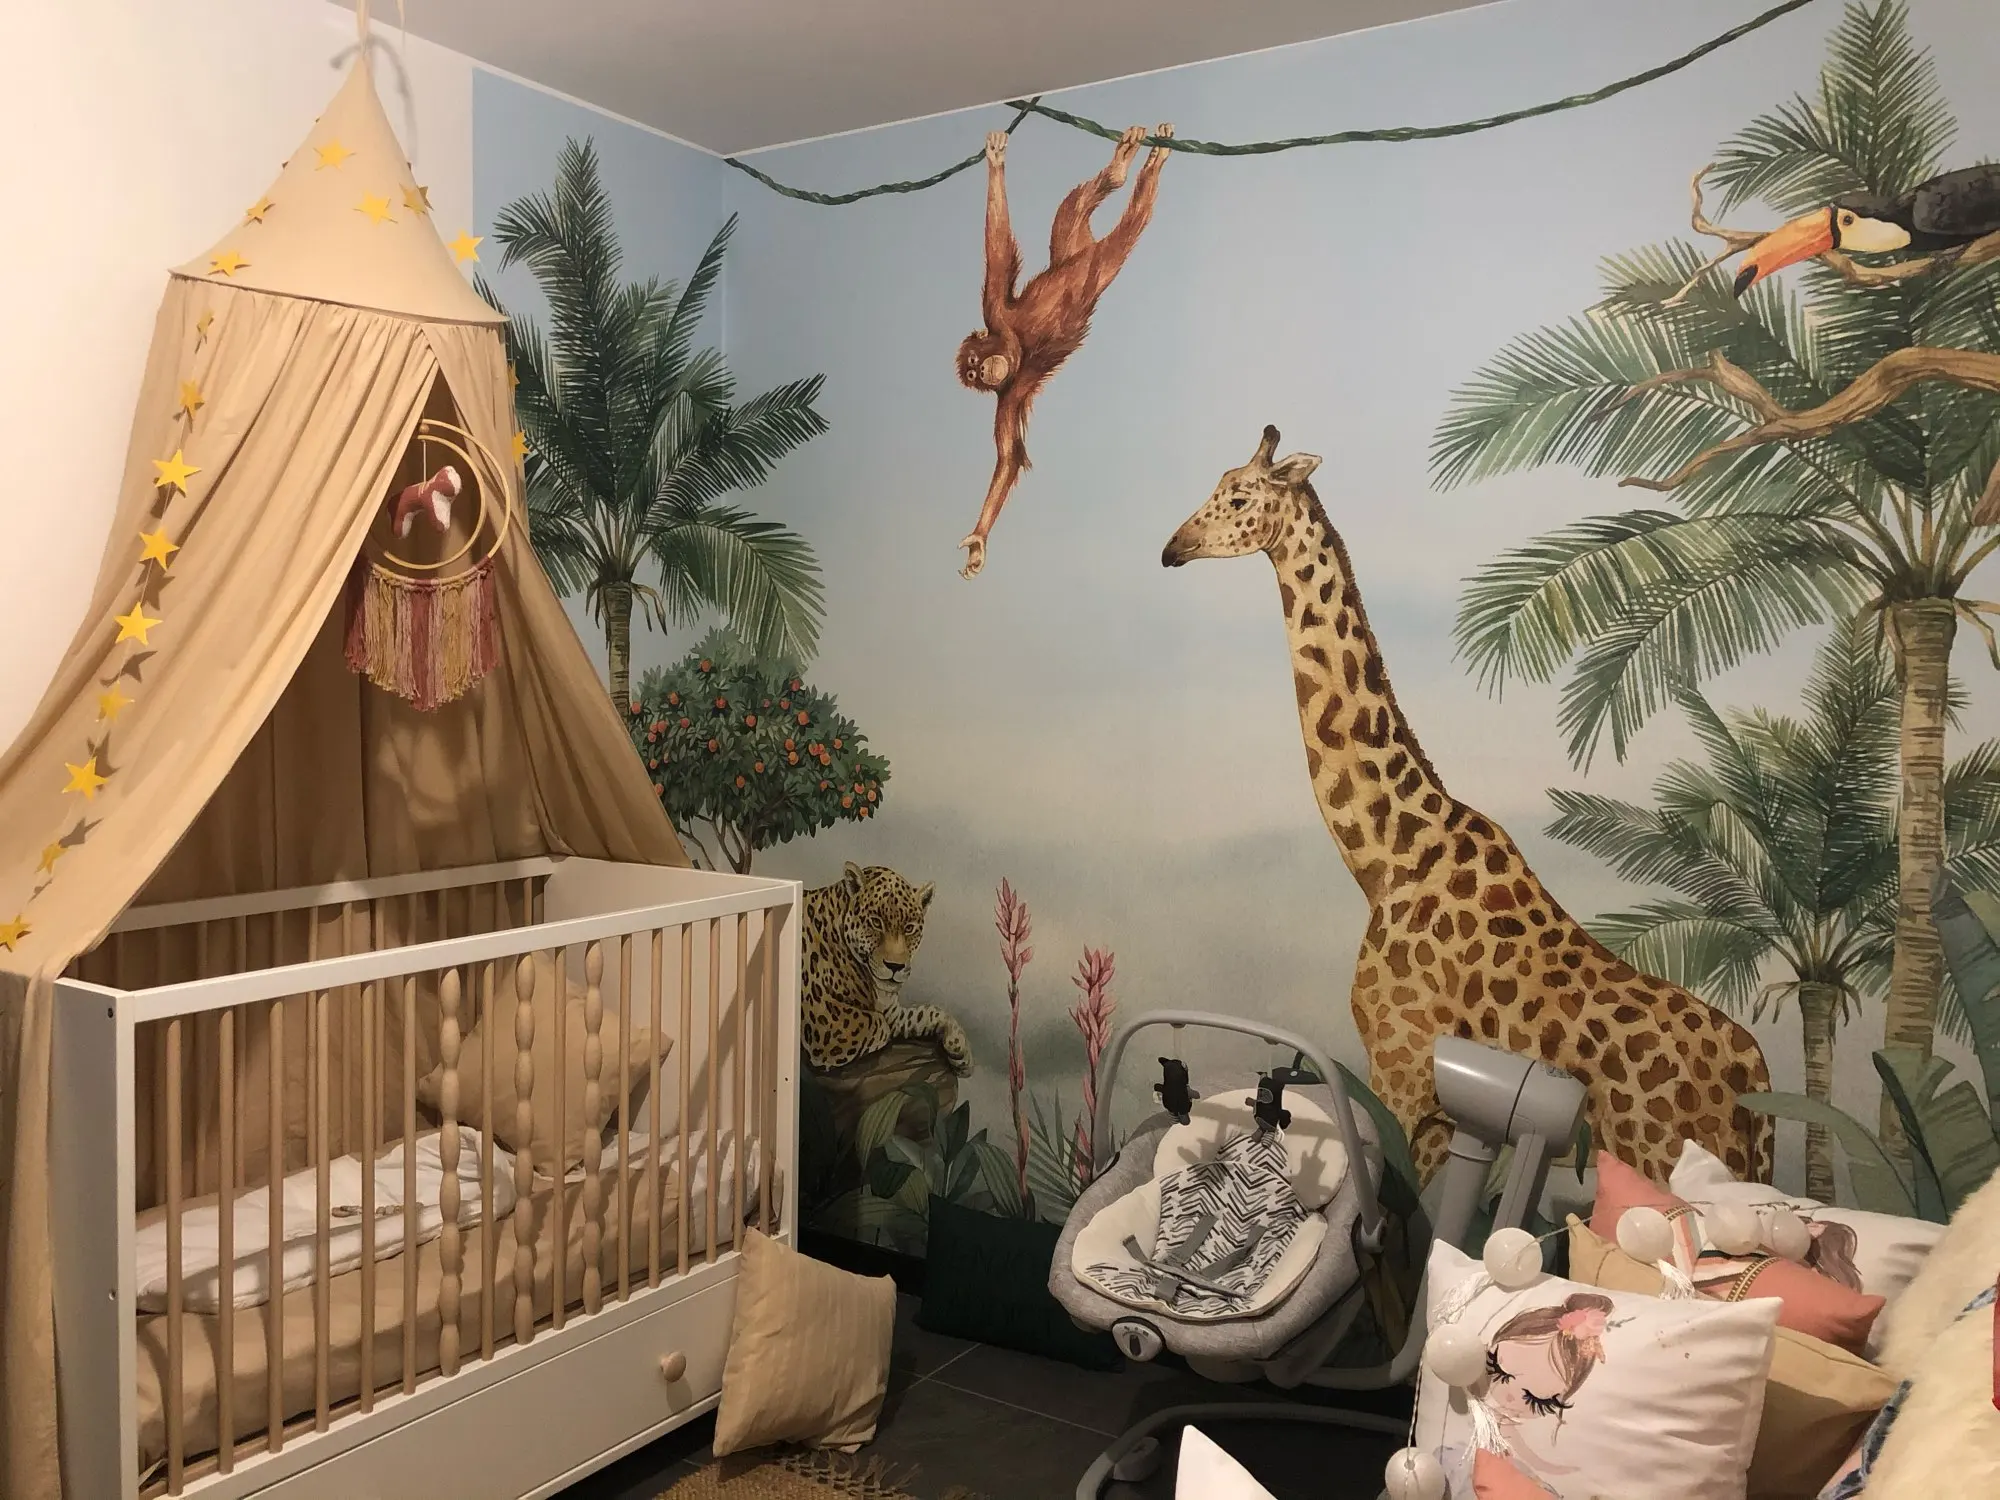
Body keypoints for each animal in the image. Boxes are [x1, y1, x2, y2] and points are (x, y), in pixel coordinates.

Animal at [801, 862, 972, 1077]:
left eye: (909, 928)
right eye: (876, 922)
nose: (895, 966)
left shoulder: (893, 1013)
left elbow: (928, 1012)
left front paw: (960, 1051)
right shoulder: (826, 1019)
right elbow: (876, 1023)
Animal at [954, 122, 1173, 579]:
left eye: (973, 363)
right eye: (972, 376)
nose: (981, 373)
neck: (1015, 350)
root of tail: (1083, 248)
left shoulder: (996, 314)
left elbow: (997, 249)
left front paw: (996, 163)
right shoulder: (1009, 397)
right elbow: (1008, 457)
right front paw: (979, 543)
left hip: (1094, 261)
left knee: (1123, 225)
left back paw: (1129, 168)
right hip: (1076, 244)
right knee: (1088, 216)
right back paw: (1132, 167)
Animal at [1161, 426, 1774, 1184]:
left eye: (1241, 496)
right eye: (1217, 488)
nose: (1173, 546)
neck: (1385, 858)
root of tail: (1756, 1087)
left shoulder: (1402, 1068)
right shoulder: (1434, 1104)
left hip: (1670, 1156)